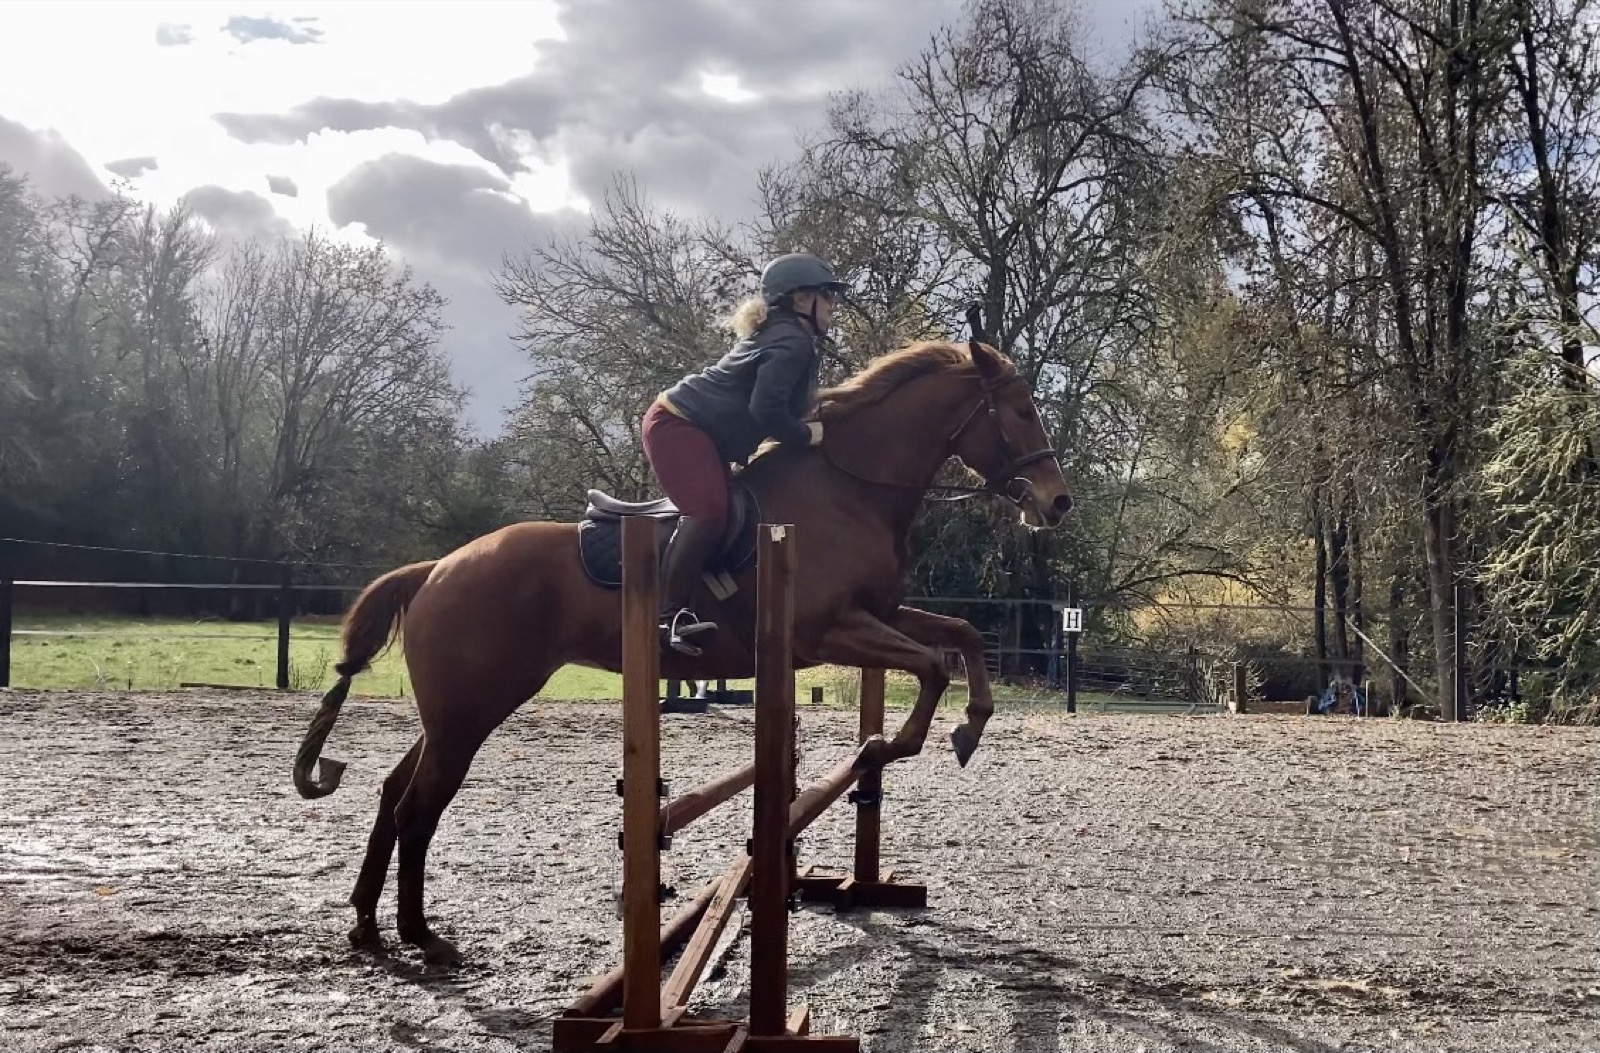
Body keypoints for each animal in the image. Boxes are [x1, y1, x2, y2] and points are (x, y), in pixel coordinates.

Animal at [291, 333, 1074, 964]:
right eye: (1020, 409)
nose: (1057, 502)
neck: (850, 488)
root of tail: (435, 568)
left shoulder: (876, 615)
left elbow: (959, 638)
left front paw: (969, 728)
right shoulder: (829, 630)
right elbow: (930, 666)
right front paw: (884, 748)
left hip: (454, 713)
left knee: (394, 792)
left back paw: (367, 927)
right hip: (471, 713)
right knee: (417, 809)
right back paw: (421, 936)